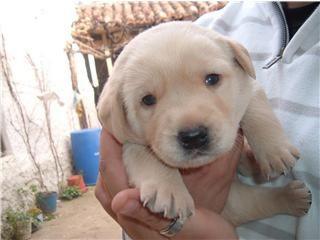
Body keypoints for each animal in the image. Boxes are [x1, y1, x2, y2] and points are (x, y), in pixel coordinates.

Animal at [97, 22, 310, 227]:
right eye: (148, 100)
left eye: (212, 79)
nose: (193, 137)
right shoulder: (124, 139)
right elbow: (144, 154)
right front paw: (168, 189)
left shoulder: (249, 86)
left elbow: (257, 110)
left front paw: (274, 151)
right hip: (234, 203)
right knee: (259, 201)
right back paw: (289, 195)